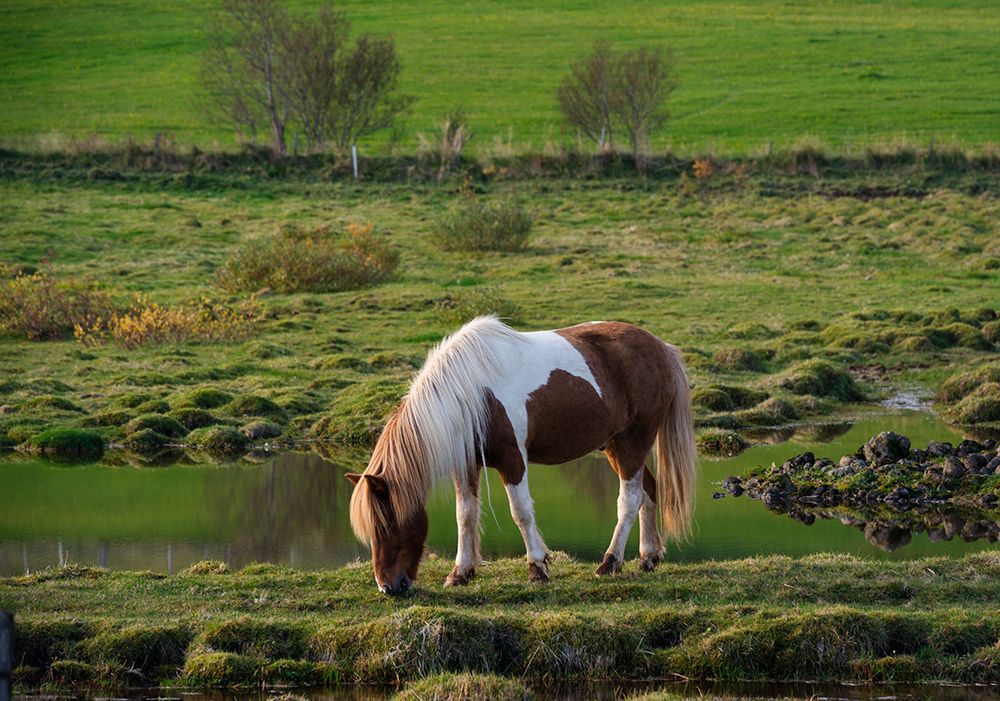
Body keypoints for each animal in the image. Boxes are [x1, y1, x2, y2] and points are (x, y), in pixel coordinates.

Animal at [346, 316, 696, 595]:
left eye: (386, 525)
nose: (388, 587)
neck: (474, 392)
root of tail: (661, 347)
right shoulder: (466, 464)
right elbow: (465, 514)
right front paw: (461, 572)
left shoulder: (513, 461)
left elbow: (521, 512)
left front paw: (537, 568)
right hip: (615, 446)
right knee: (648, 491)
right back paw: (648, 557)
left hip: (633, 441)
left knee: (630, 499)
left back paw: (610, 562)